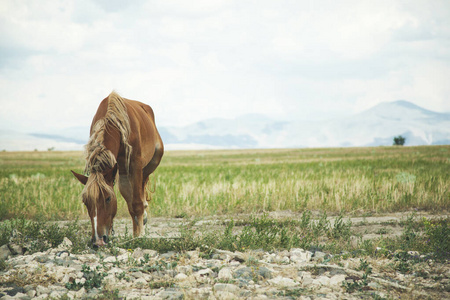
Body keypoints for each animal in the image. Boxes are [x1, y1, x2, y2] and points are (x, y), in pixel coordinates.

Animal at [69, 92, 163, 246]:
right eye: (85, 201)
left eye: (107, 199)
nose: (98, 241)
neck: (113, 122)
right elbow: (130, 204)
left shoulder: (135, 164)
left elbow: (137, 203)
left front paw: (140, 236)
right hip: (124, 172)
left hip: (150, 163)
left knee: (142, 186)